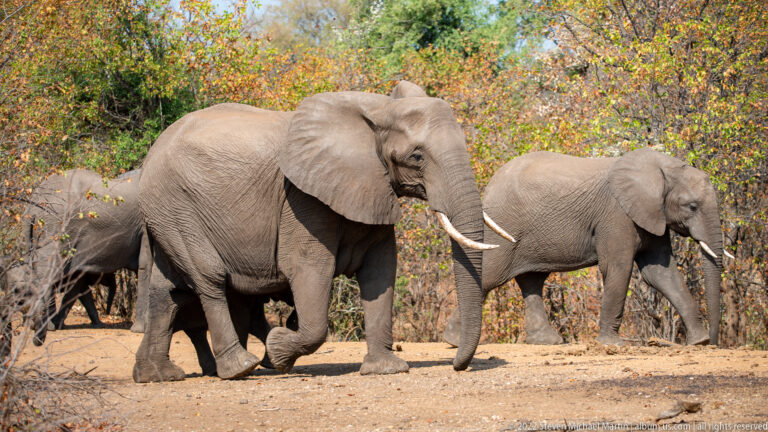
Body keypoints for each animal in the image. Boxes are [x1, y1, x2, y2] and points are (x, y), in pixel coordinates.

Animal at [134, 81, 509, 382]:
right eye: (416, 157)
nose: (458, 365)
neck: (377, 110)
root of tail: (151, 152)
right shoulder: (302, 201)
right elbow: (309, 270)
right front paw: (278, 350)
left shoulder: (372, 188)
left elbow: (381, 271)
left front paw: (386, 370)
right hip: (175, 205)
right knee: (209, 278)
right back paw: (240, 368)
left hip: (165, 214)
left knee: (165, 292)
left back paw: (156, 376)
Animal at [443, 149, 731, 346]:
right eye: (691, 206)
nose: (716, 340)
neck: (661, 168)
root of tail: (490, 183)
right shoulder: (617, 215)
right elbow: (618, 268)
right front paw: (614, 345)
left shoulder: (652, 215)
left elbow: (661, 273)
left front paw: (699, 342)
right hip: (503, 224)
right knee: (491, 276)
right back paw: (453, 340)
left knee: (532, 280)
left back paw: (549, 342)